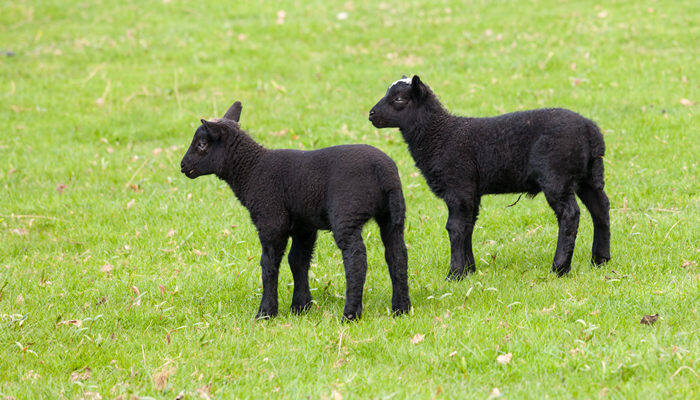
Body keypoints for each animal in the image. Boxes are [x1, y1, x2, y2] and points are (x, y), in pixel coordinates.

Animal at [180, 101, 410, 322]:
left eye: (202, 144)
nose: (182, 166)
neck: (251, 170)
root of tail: (382, 171)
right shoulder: (304, 227)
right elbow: (298, 261)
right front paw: (301, 306)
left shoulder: (271, 221)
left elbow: (269, 265)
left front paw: (266, 312)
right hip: (392, 216)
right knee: (397, 255)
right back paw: (401, 309)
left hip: (347, 213)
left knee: (356, 260)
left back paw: (350, 315)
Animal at [370, 76, 608, 280]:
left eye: (399, 99)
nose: (371, 115)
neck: (439, 136)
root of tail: (591, 130)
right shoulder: (470, 191)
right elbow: (468, 225)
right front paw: (469, 270)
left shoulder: (457, 186)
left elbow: (455, 227)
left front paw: (454, 274)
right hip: (587, 177)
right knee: (600, 208)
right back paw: (600, 260)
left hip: (557, 176)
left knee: (570, 214)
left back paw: (560, 268)